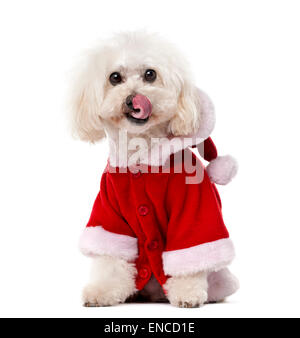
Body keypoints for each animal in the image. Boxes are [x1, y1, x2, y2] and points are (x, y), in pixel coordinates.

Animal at [70, 30, 239, 308]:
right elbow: (111, 255)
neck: (143, 153)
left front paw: (187, 292)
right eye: (114, 78)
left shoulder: (194, 207)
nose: (132, 99)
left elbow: (190, 253)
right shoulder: (108, 209)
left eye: (150, 74)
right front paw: (104, 290)